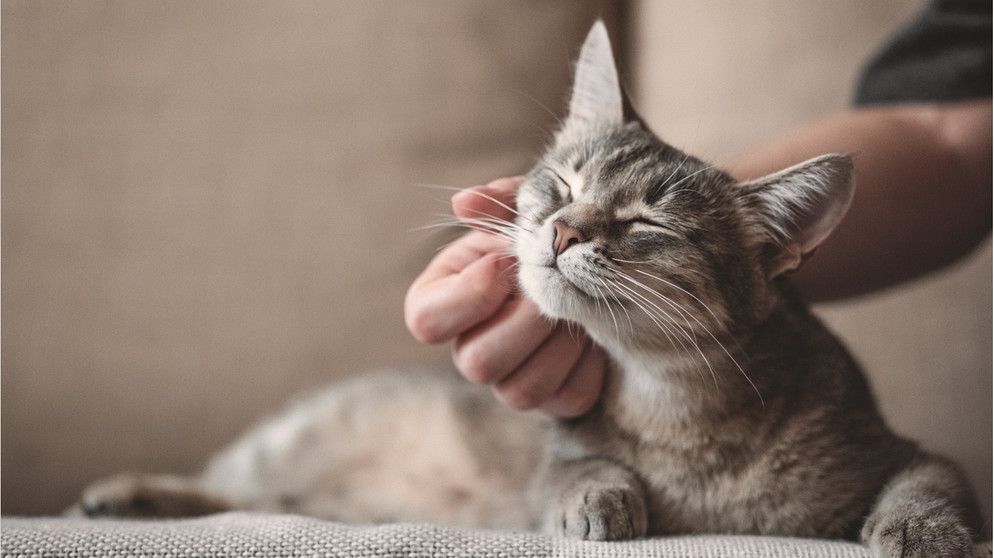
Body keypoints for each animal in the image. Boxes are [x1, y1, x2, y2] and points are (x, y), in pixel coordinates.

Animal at [73, 19, 980, 556]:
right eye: (563, 182)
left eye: (647, 222)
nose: (564, 229)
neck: (676, 410)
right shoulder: (559, 454)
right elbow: (579, 469)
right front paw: (600, 498)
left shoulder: (904, 450)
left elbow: (934, 482)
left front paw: (918, 529)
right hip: (290, 443)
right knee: (236, 487)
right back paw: (125, 493)